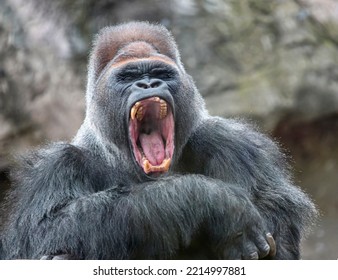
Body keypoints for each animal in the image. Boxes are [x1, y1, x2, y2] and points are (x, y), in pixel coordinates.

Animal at [0, 21, 316, 260]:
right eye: (129, 76)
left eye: (160, 73)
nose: (149, 83)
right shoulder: (56, 166)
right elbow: (42, 232)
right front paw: (216, 203)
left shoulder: (234, 143)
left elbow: (279, 232)